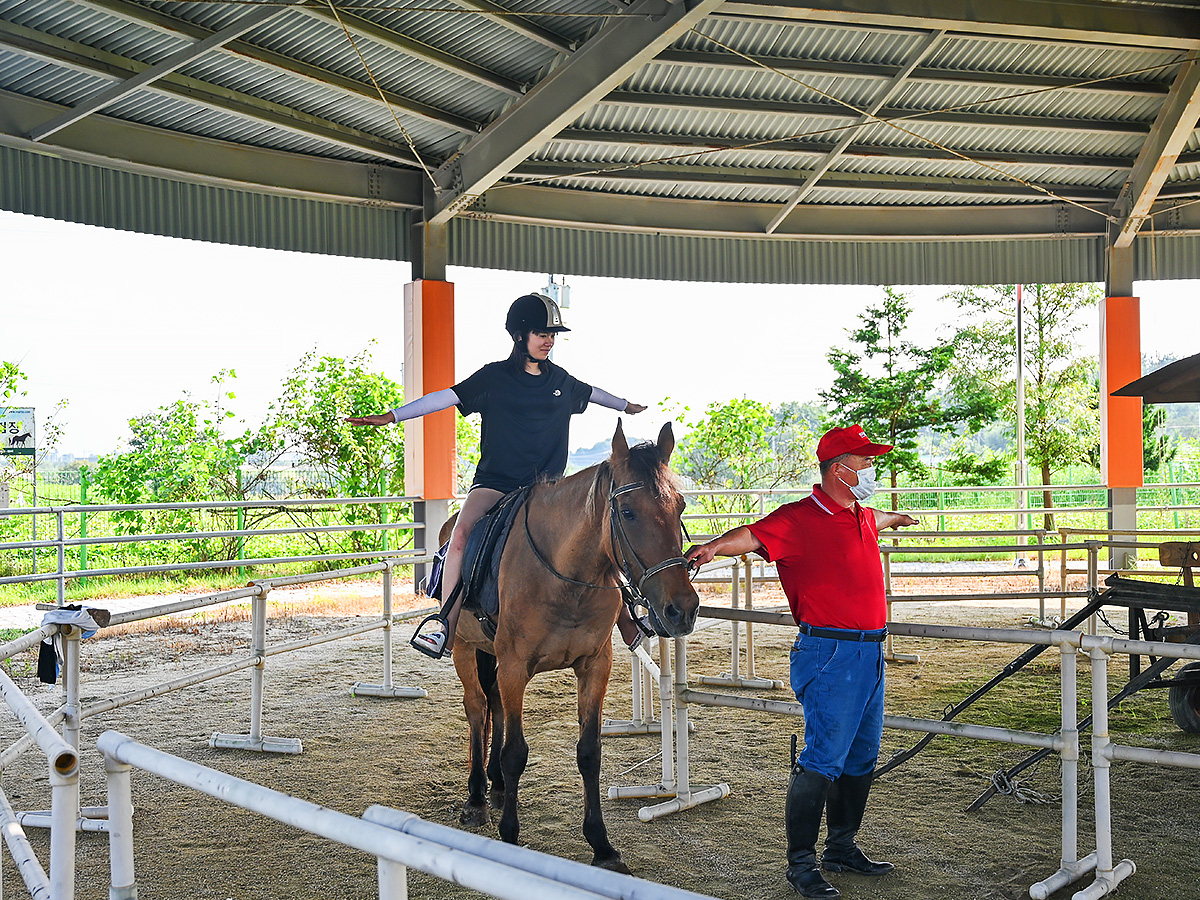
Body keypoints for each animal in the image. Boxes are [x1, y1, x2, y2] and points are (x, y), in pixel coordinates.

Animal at [446, 422, 700, 873]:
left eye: (680, 507)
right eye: (628, 512)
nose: (681, 609)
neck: (565, 577)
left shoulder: (594, 666)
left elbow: (589, 752)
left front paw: (602, 845)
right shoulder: (515, 667)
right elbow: (516, 752)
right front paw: (510, 837)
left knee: (492, 705)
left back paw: (496, 787)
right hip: (464, 647)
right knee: (476, 708)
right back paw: (477, 797)